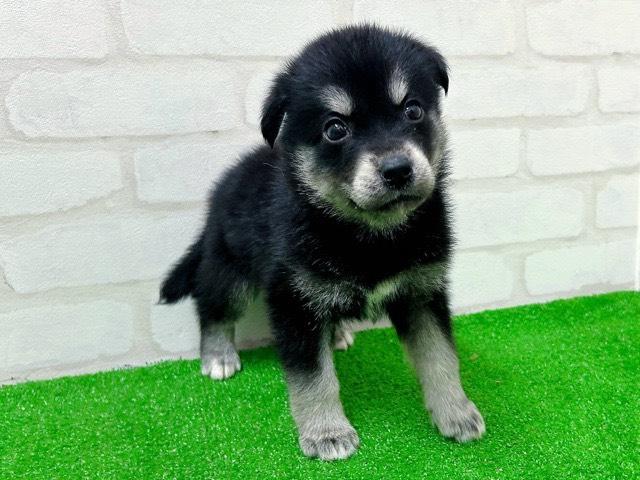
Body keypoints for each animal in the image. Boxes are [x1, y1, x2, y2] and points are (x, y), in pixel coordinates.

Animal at [160, 24, 485, 460]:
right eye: (335, 129)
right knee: (212, 306)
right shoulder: (295, 302)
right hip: (231, 270)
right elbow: (314, 378)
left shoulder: (422, 291)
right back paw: (218, 356)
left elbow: (440, 357)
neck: (370, 234)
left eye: (413, 110)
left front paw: (456, 412)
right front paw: (326, 433)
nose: (398, 170)